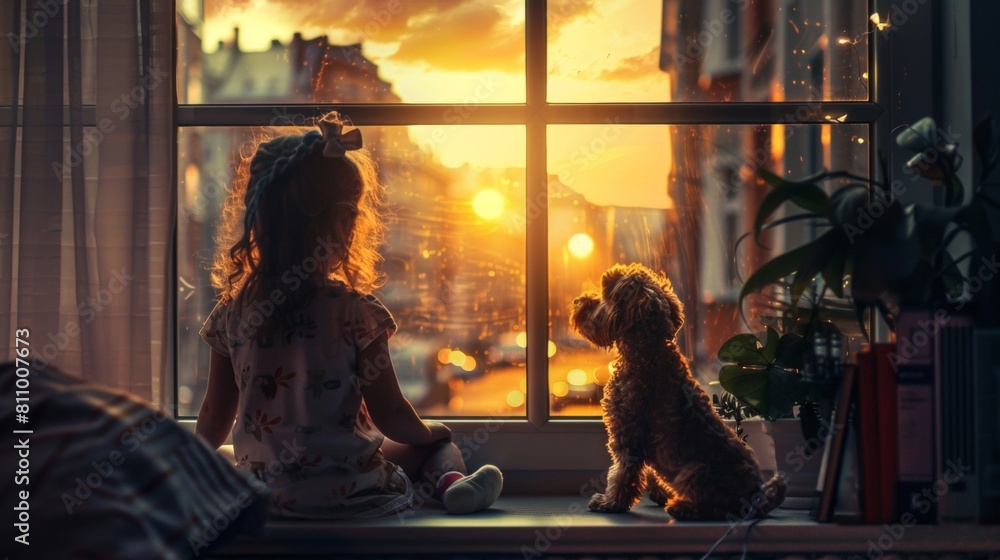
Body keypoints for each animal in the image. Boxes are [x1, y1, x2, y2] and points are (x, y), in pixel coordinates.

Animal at [576, 262, 784, 520]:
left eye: (606, 293)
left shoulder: (628, 435)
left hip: (694, 472)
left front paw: (610, 502)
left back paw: (682, 506)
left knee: (715, 507)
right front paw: (656, 493)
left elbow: (622, 473)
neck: (648, 351)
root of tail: (756, 495)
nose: (578, 301)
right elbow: (647, 473)